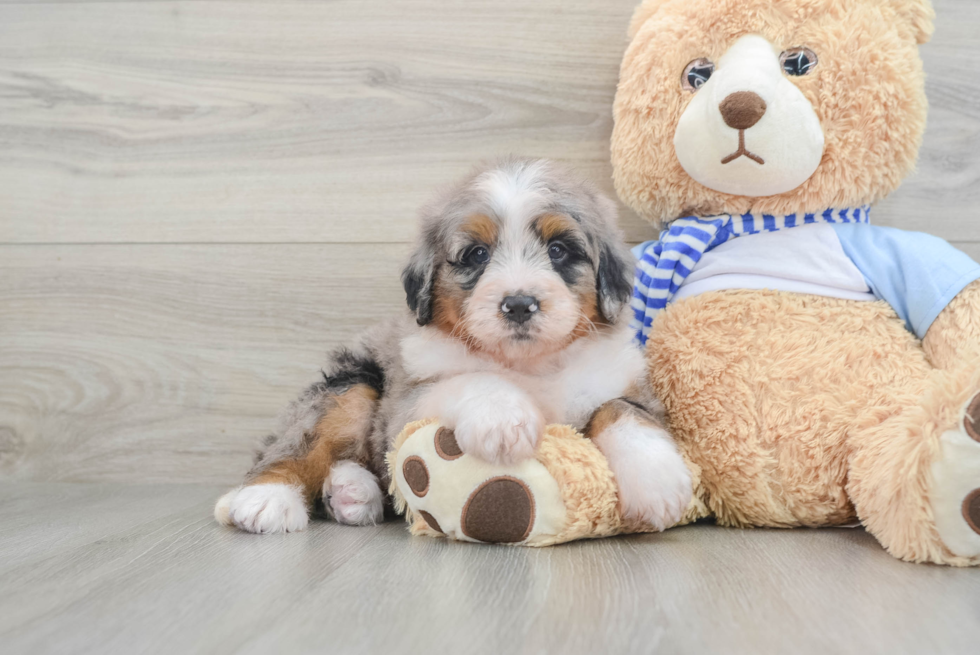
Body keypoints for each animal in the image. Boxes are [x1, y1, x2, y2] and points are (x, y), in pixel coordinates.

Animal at [216, 158, 688, 532]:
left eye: (558, 250)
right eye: (477, 254)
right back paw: (265, 499)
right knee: (297, 445)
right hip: (349, 384)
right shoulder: (407, 403)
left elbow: (620, 409)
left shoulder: (627, 384)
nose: (519, 304)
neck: (530, 366)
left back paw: (351, 493)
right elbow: (471, 379)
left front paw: (657, 480)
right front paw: (504, 420)